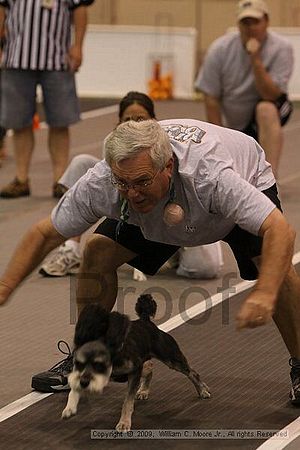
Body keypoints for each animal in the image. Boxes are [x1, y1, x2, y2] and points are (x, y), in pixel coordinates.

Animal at [61, 294, 210, 430]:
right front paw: (70, 407)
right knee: (149, 367)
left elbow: (127, 402)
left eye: (99, 365)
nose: (84, 383)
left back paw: (203, 390)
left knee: (191, 373)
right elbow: (74, 388)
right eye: (78, 364)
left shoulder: (134, 371)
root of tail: (145, 321)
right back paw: (144, 391)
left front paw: (124, 423)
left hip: (171, 358)